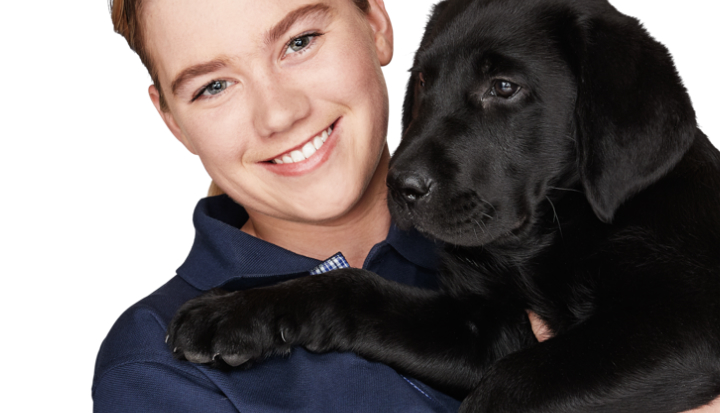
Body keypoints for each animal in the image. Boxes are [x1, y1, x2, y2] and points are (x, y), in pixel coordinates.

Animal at [166, 1, 720, 410]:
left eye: (504, 87)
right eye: (424, 80)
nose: (399, 185)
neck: (540, 241)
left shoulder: (685, 322)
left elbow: (508, 387)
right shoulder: (482, 331)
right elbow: (354, 288)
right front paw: (237, 312)